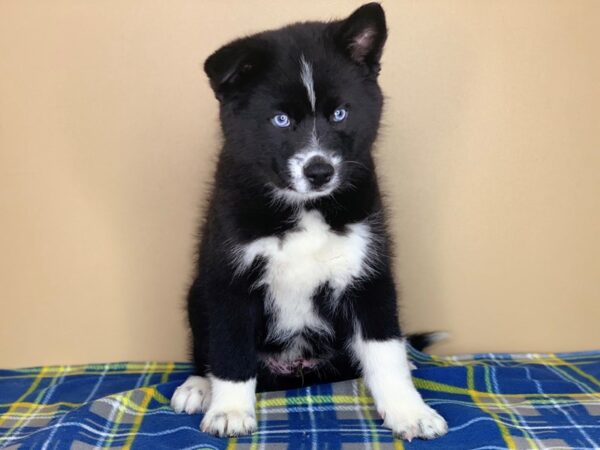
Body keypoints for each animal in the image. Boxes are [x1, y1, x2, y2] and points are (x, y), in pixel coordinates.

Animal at [171, 1, 448, 442]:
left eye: (340, 114)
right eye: (280, 120)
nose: (320, 171)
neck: (304, 207)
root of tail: (296, 370)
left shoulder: (369, 270)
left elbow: (384, 348)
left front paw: (409, 411)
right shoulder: (229, 276)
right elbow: (231, 350)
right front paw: (229, 410)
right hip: (196, 294)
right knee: (208, 350)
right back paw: (199, 386)